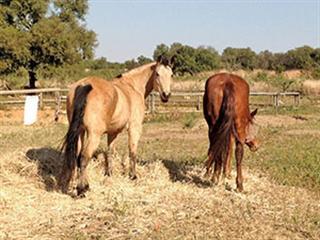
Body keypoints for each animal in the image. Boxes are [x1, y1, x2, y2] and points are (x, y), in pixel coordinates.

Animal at [61, 56, 174, 197]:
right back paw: (82, 189)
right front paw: (133, 176)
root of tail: (84, 84)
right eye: (157, 74)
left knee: (76, 156)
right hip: (93, 135)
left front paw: (109, 174)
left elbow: (109, 152)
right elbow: (132, 151)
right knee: (83, 157)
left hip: (80, 132)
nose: (166, 95)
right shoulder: (134, 128)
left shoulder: (112, 133)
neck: (132, 87)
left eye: (171, 74)